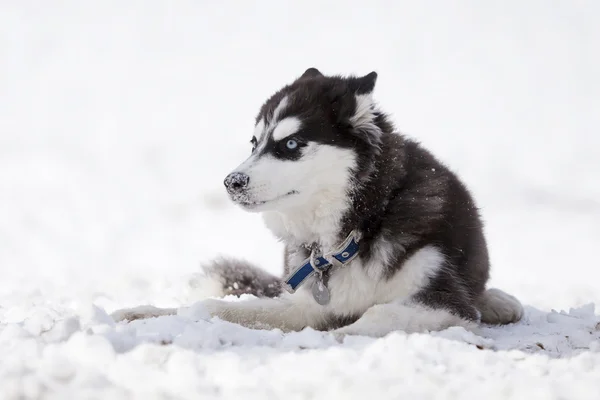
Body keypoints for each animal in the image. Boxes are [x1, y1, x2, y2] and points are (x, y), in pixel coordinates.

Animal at [113, 69, 524, 338]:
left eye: (291, 144)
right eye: (254, 142)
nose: (232, 182)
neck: (359, 227)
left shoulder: (444, 300)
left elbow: (377, 316)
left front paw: (335, 337)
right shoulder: (306, 303)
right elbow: (218, 308)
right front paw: (147, 313)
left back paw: (500, 301)